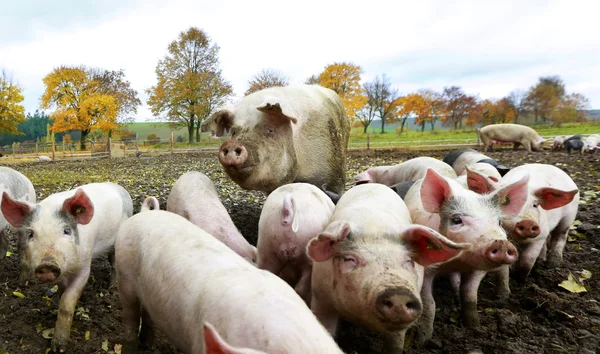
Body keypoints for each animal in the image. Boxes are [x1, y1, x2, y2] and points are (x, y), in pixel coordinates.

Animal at [0, 183, 132, 352]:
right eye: (31, 233)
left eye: (66, 231)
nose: (47, 264)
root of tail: (118, 187)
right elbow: (62, 292)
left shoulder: (84, 266)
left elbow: (67, 301)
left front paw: (59, 347)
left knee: (114, 263)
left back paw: (112, 288)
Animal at [400, 169, 528, 342]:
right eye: (457, 220)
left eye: (499, 222)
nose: (501, 244)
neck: (458, 261)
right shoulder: (426, 270)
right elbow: (429, 305)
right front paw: (423, 340)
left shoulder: (478, 269)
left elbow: (470, 296)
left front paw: (475, 327)